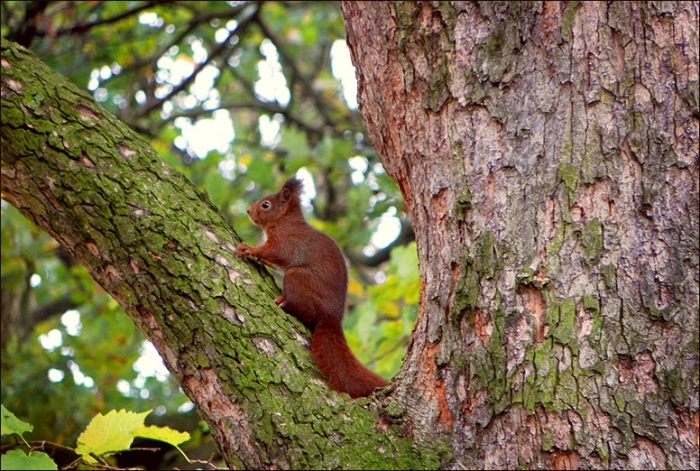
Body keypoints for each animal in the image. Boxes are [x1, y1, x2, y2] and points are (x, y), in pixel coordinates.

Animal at [235, 177, 388, 398]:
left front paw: (248, 248)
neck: (284, 220)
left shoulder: (286, 240)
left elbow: (277, 253)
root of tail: (332, 316)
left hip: (296, 278)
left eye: (266, 205)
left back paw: (285, 302)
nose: (248, 210)